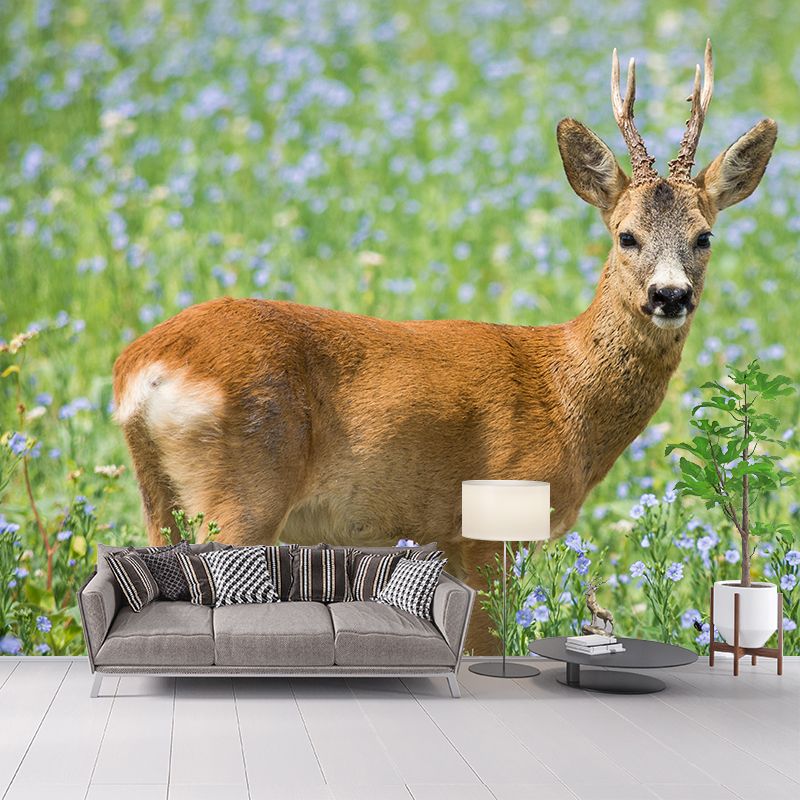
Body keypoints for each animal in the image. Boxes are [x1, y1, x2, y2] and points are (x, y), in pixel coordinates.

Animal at [112, 41, 777, 655]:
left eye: (705, 236)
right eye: (626, 235)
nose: (670, 295)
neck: (564, 392)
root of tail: (145, 367)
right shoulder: (488, 528)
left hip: (161, 494)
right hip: (242, 492)